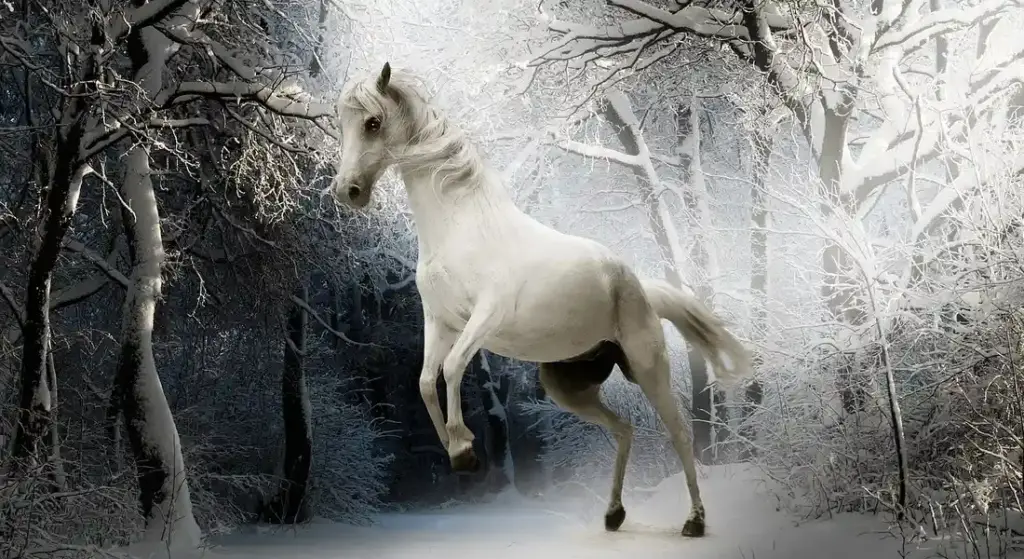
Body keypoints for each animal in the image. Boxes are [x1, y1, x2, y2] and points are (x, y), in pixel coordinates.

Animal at [329, 62, 754, 537]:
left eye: (372, 123)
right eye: (341, 123)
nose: (347, 191)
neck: (461, 227)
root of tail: (639, 286)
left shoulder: (485, 317)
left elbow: (453, 368)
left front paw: (465, 448)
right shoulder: (439, 321)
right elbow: (424, 381)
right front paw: (458, 452)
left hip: (648, 367)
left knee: (680, 432)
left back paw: (694, 521)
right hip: (566, 387)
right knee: (624, 430)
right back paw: (613, 515)